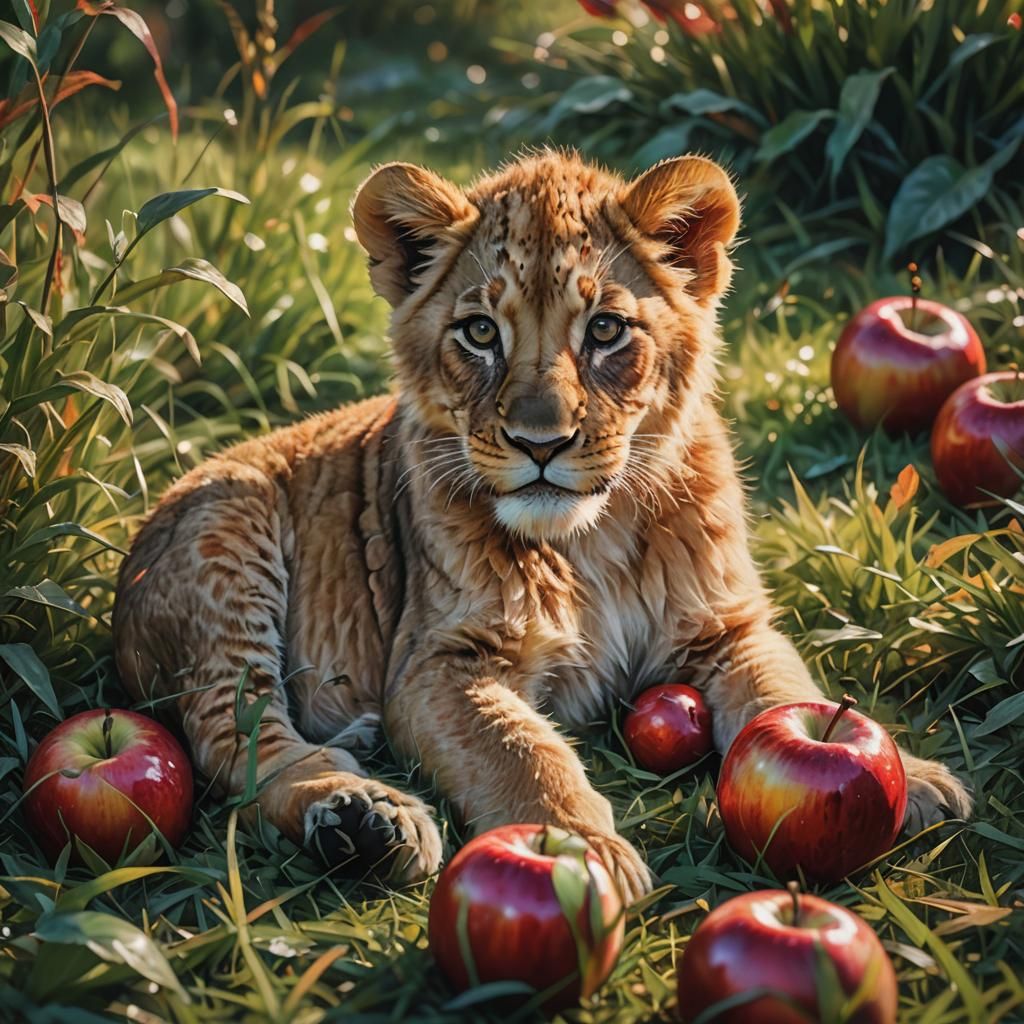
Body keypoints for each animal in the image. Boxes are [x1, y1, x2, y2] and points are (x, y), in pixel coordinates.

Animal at [112, 152, 971, 902]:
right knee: (232, 740)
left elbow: (783, 694)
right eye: (480, 333)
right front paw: (577, 848)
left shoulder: (728, 628)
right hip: (230, 537)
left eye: (606, 330)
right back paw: (367, 819)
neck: (594, 542)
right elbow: (524, 752)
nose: (541, 443)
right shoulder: (437, 663)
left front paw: (913, 778)